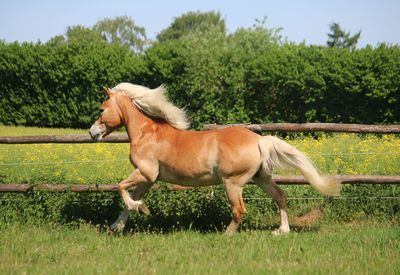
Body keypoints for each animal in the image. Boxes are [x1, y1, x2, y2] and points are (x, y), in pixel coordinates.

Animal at [90, 83, 340, 236]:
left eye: (102, 109)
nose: (92, 133)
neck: (147, 133)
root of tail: (259, 139)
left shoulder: (145, 172)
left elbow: (121, 188)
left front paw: (141, 209)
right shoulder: (148, 179)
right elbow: (128, 200)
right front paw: (119, 224)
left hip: (233, 183)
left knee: (239, 210)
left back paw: (226, 234)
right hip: (260, 178)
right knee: (280, 196)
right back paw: (281, 231)